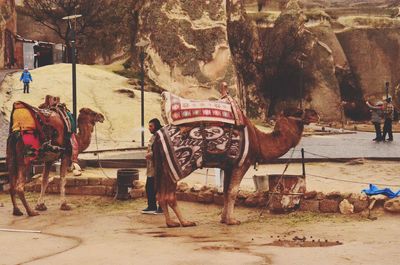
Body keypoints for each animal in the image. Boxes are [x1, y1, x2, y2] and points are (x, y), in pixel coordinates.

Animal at [153, 108, 318, 227]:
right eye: (298, 112)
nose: (315, 114)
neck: (258, 140)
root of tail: (157, 137)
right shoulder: (241, 163)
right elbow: (233, 191)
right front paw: (233, 220)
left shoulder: (228, 166)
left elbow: (226, 192)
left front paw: (224, 219)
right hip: (177, 166)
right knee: (169, 195)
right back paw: (185, 222)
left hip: (162, 166)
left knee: (160, 195)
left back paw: (171, 222)